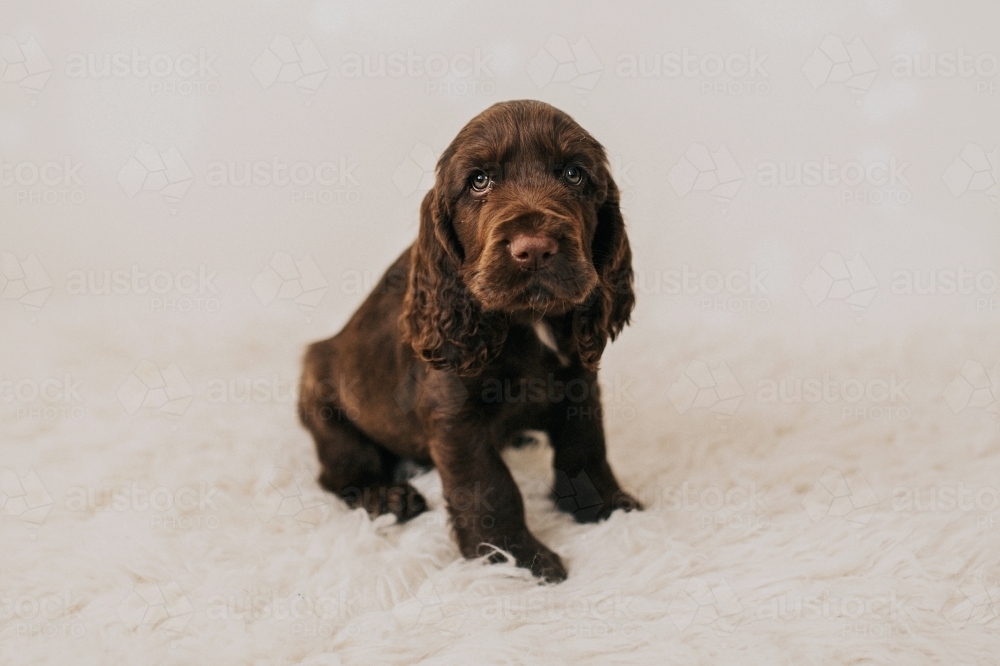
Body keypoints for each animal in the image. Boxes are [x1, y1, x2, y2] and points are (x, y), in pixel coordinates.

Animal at [298, 100, 640, 580]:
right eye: (480, 180)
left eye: (574, 174)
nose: (534, 249)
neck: (527, 320)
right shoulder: (455, 409)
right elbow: (489, 484)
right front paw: (513, 557)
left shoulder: (580, 382)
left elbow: (586, 446)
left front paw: (608, 507)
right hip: (325, 403)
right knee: (342, 470)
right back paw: (388, 496)